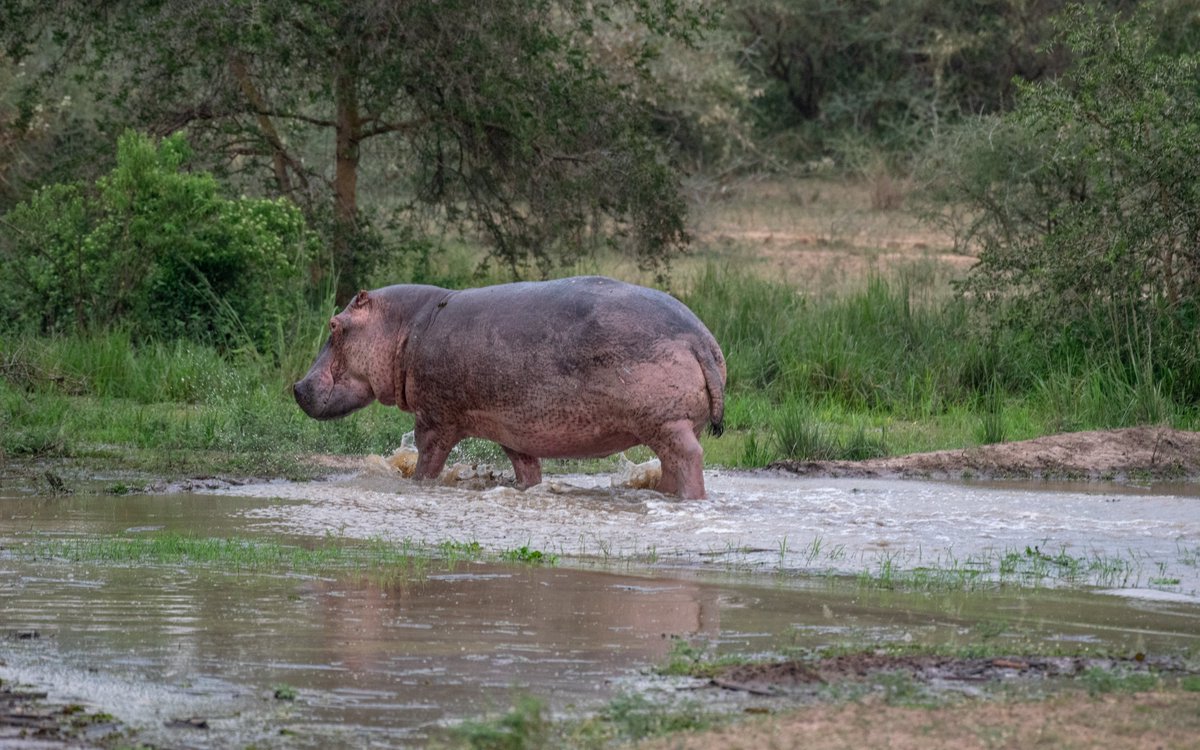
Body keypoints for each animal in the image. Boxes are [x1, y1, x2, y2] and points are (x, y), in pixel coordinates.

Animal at [292, 274, 720, 496]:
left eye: (335, 325)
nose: (296, 386)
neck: (403, 325)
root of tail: (701, 338)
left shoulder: (435, 418)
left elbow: (427, 460)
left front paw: (417, 485)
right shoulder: (512, 430)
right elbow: (526, 469)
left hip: (667, 423)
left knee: (689, 457)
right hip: (671, 425)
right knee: (672, 461)